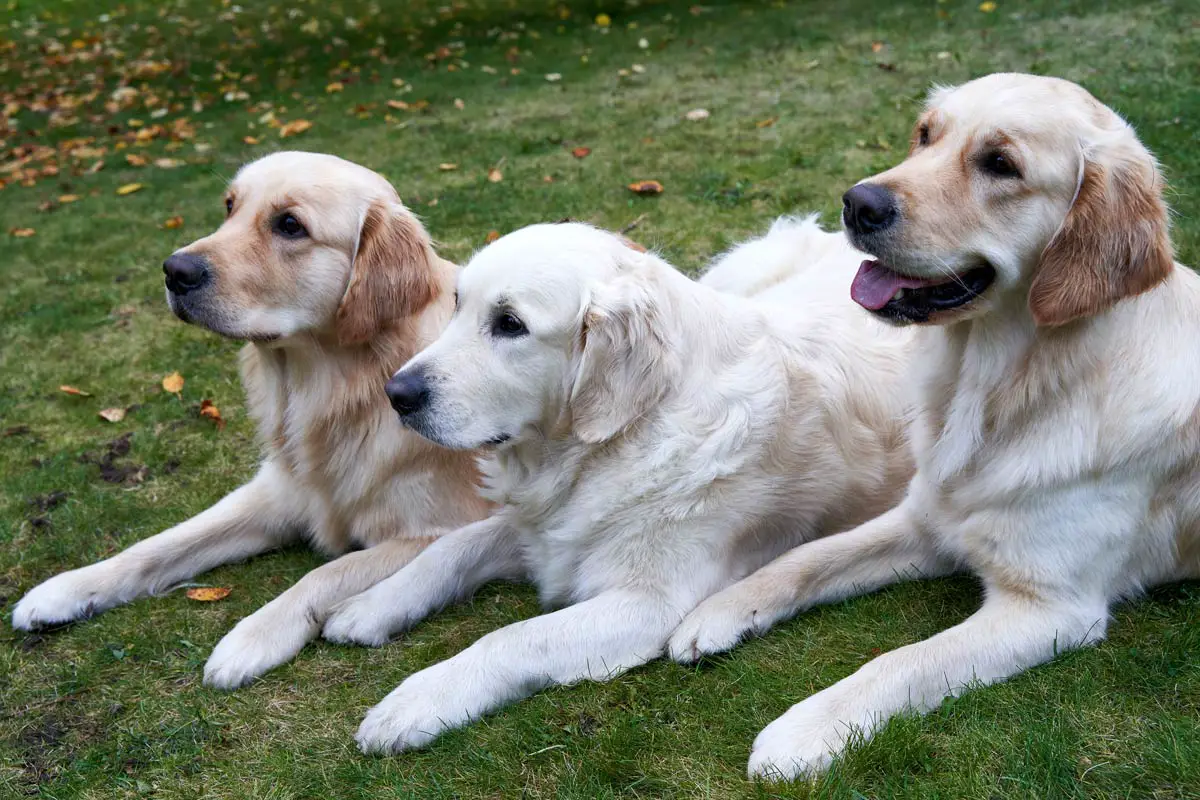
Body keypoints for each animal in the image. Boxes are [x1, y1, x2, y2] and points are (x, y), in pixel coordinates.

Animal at [11, 151, 489, 690]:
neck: (337, 392)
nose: (173, 270)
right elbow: (162, 543)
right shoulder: (277, 493)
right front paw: (67, 588)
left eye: (290, 225)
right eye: (229, 206)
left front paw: (253, 637)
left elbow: (328, 572)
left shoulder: (438, 529)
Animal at [321, 217, 916, 753]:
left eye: (510, 324)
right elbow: (450, 549)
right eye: (456, 304)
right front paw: (371, 604)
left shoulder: (648, 603)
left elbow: (513, 636)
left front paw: (416, 701)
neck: (623, 433)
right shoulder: (549, 527)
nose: (397, 393)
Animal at [672, 71, 1195, 777]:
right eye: (926, 135)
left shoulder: (1050, 607)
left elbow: (905, 661)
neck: (994, 389)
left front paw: (802, 731)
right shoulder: (928, 521)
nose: (857, 203)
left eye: (1000, 164)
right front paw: (719, 612)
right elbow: (805, 557)